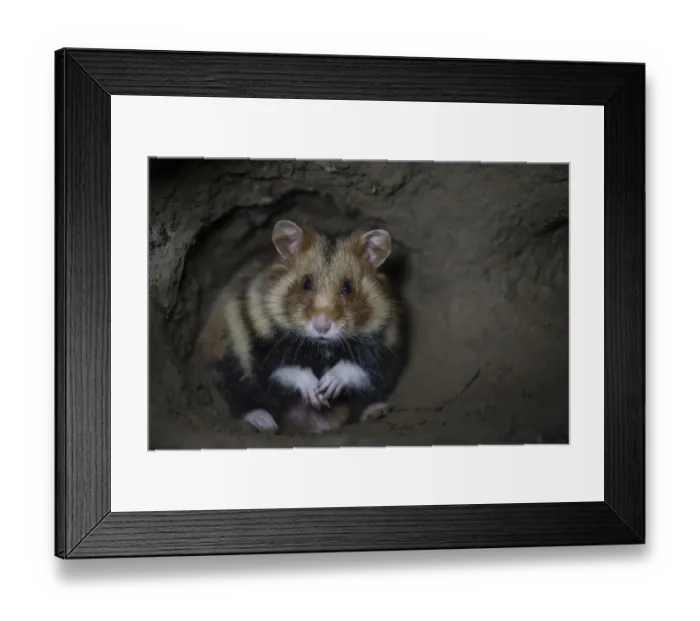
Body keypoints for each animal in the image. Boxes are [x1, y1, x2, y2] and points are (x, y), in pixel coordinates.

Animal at [196, 218, 408, 435]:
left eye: (347, 288)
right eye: (306, 283)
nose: (322, 327)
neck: (321, 346)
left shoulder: (382, 343)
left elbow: (355, 367)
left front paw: (326, 388)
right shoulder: (264, 340)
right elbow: (287, 368)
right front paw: (316, 394)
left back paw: (376, 410)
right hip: (229, 361)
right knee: (241, 398)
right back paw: (264, 422)